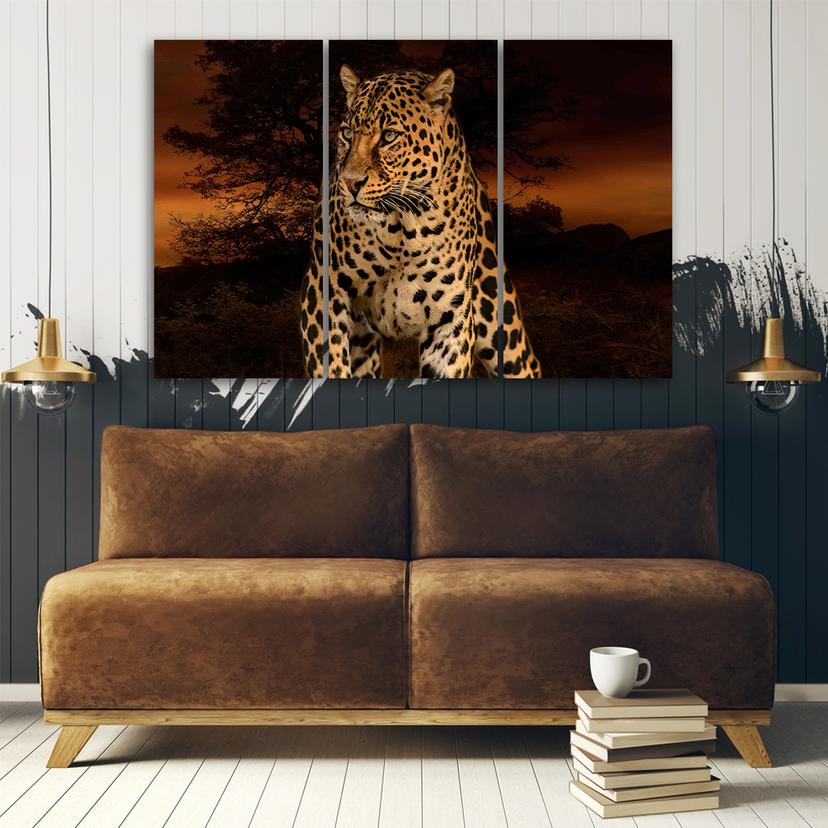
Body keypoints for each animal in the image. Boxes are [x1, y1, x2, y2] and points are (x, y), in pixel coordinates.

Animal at [300, 64, 541, 379]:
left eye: (389, 136)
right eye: (347, 133)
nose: (350, 183)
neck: (401, 227)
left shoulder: (449, 319)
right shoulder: (323, 295)